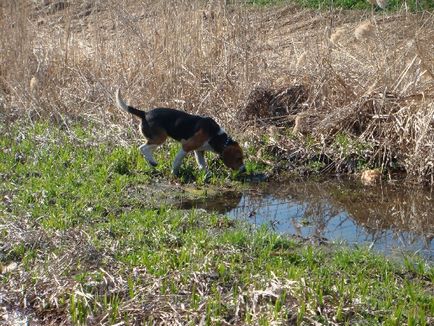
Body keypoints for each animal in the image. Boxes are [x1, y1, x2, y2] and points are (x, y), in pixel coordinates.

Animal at [115, 88, 244, 176]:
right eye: (238, 158)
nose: (244, 170)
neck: (215, 136)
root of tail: (145, 114)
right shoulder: (186, 146)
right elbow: (177, 161)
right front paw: (174, 172)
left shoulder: (199, 151)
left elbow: (202, 164)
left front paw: (208, 175)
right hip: (160, 138)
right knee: (142, 148)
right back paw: (153, 162)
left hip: (155, 140)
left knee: (146, 149)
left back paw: (151, 164)